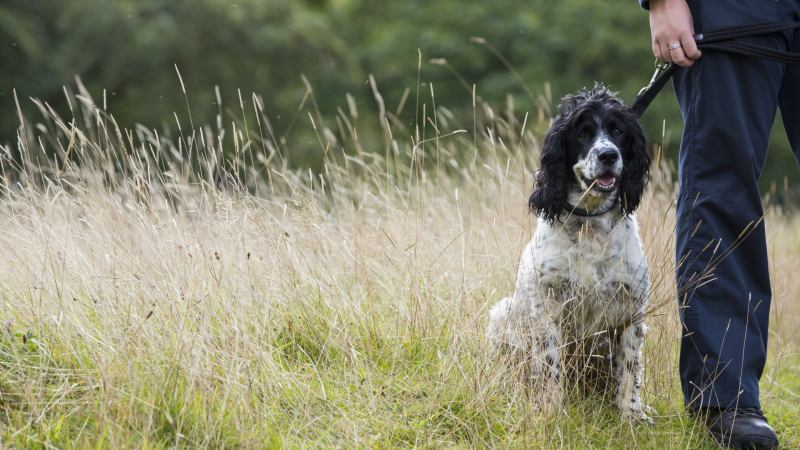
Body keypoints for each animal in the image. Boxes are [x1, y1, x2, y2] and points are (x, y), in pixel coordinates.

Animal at [488, 84, 648, 422]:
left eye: (618, 131)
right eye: (583, 133)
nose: (608, 155)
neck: (589, 225)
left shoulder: (631, 310)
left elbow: (629, 370)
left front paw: (630, 417)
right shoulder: (547, 306)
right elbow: (551, 366)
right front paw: (551, 411)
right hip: (502, 313)